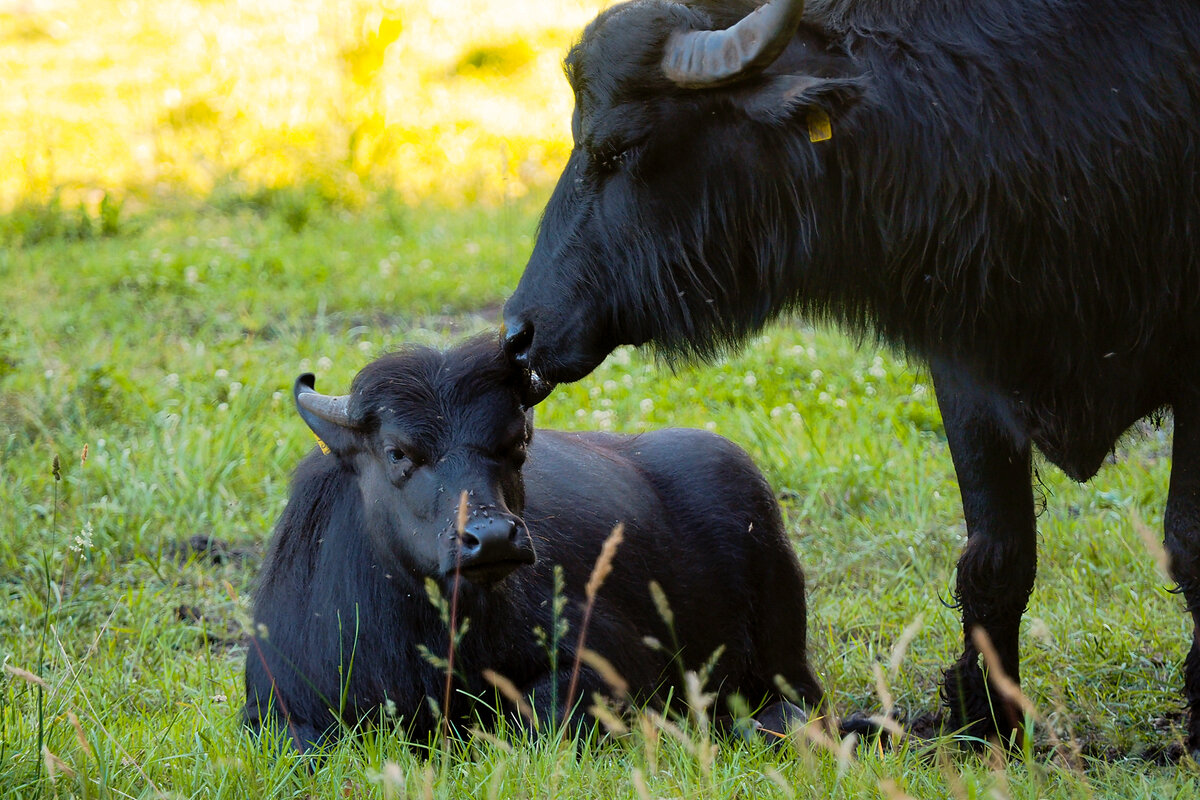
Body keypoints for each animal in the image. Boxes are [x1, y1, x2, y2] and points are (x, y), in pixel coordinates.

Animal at [243, 333, 825, 753]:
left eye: (516, 444)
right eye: (397, 452)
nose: (491, 539)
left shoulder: (611, 663)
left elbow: (535, 718)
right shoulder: (277, 707)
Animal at [501, 0, 1200, 753]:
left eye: (621, 147)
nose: (519, 334)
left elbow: (1187, 544)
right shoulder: (968, 366)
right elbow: (995, 556)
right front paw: (987, 723)